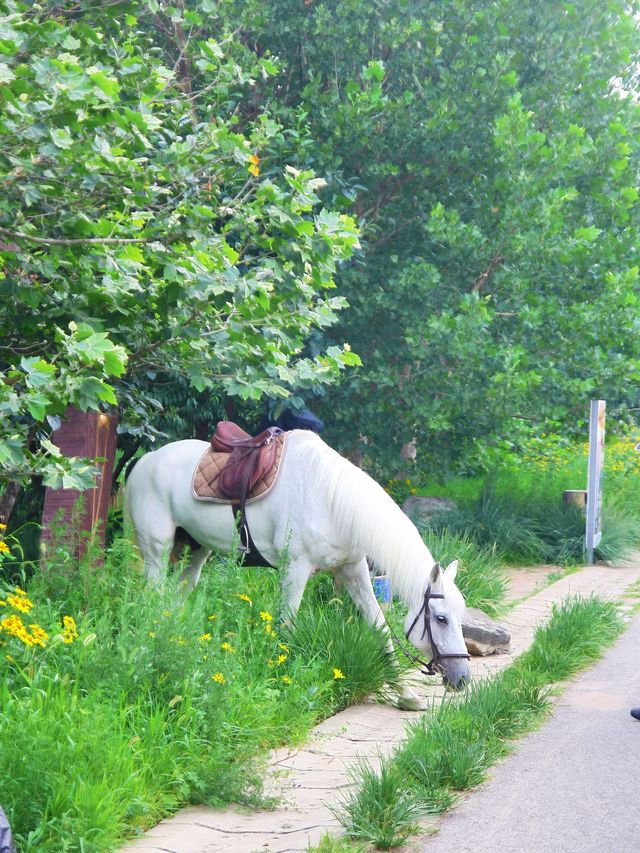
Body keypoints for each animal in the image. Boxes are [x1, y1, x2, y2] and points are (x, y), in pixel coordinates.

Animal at [124, 430, 470, 704]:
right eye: (441, 619)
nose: (463, 678)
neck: (332, 501)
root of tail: (145, 460)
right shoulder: (296, 570)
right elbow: (286, 626)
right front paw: (281, 680)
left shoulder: (352, 570)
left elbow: (379, 626)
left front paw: (404, 694)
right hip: (157, 551)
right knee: (151, 600)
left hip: (197, 550)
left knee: (177, 596)